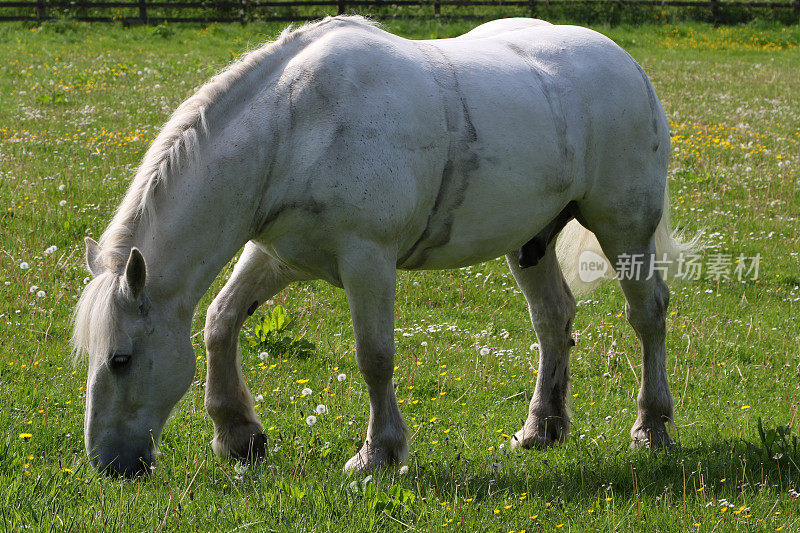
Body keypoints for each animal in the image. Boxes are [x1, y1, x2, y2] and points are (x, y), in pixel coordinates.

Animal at [72, 15, 692, 474]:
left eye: (121, 359)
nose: (110, 465)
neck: (294, 127)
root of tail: (625, 62)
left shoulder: (367, 259)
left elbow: (374, 356)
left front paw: (378, 454)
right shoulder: (277, 255)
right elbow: (220, 322)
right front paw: (238, 435)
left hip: (624, 227)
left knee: (648, 315)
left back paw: (652, 428)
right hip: (530, 240)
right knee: (552, 319)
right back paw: (541, 429)